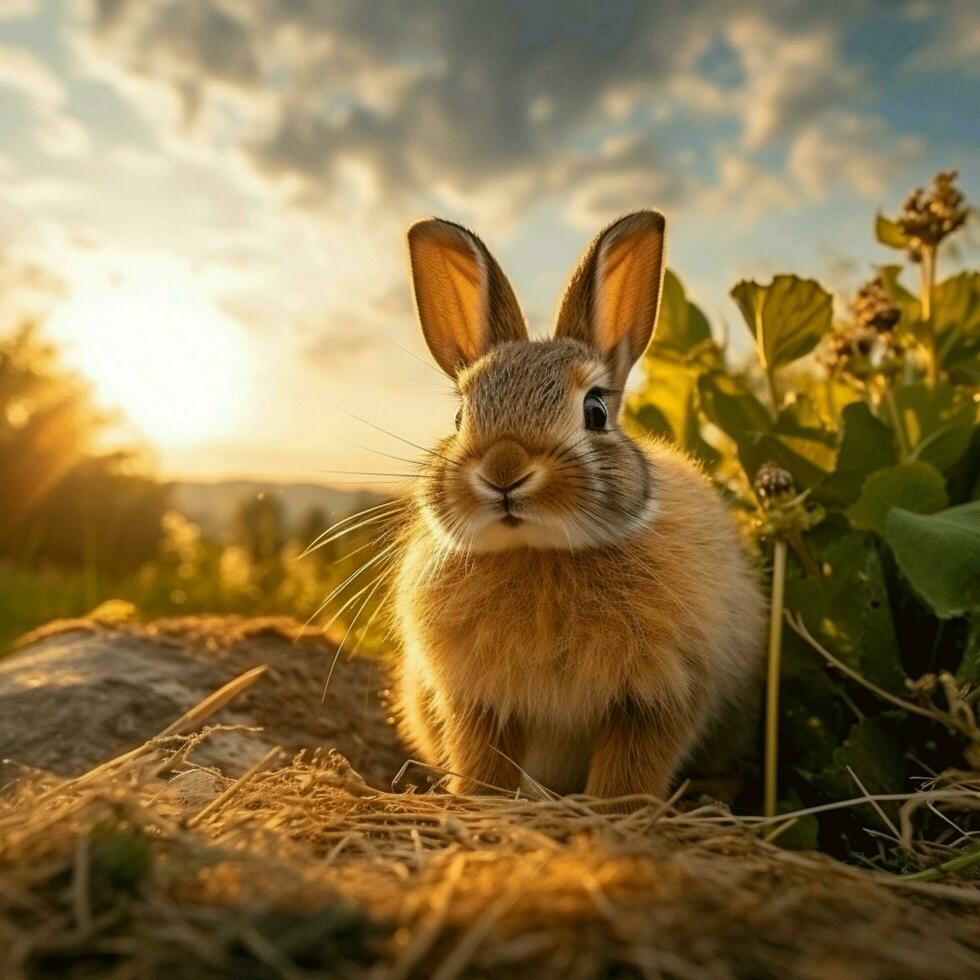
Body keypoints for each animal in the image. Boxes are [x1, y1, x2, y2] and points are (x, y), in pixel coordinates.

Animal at [390, 211, 764, 800]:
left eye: (595, 411)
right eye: (459, 417)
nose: (503, 471)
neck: (541, 552)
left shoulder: (659, 697)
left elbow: (629, 772)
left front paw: (614, 812)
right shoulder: (479, 702)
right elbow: (485, 763)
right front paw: (481, 802)